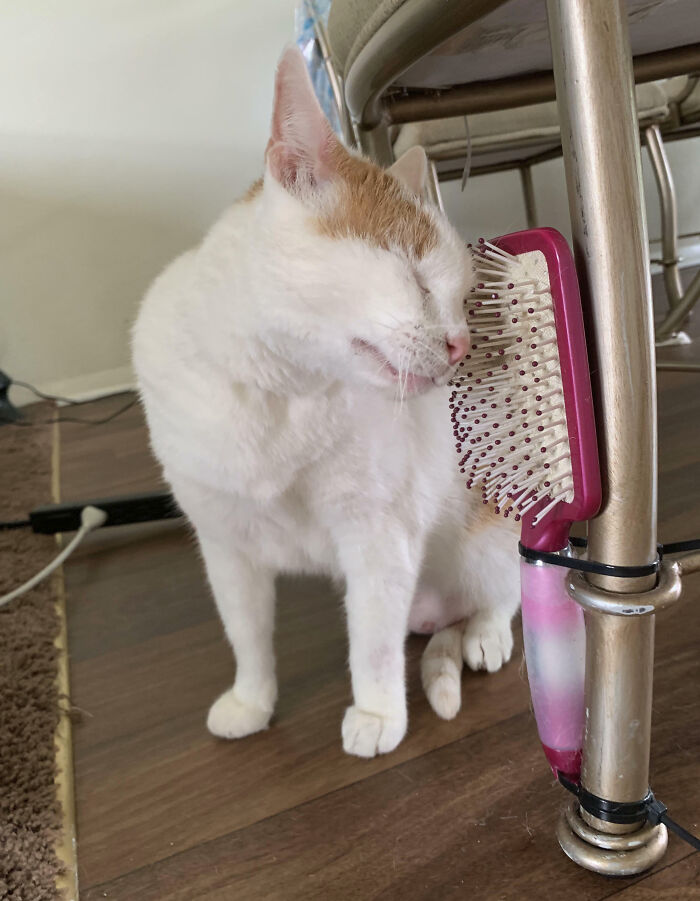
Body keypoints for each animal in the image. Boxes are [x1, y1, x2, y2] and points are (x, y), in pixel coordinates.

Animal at [134, 44, 524, 760]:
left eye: (463, 299)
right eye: (415, 276)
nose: (461, 344)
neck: (280, 392)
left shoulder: (378, 536)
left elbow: (370, 645)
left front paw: (377, 714)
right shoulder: (225, 545)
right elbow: (246, 634)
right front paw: (251, 701)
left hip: (490, 535)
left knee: (501, 594)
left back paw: (485, 635)